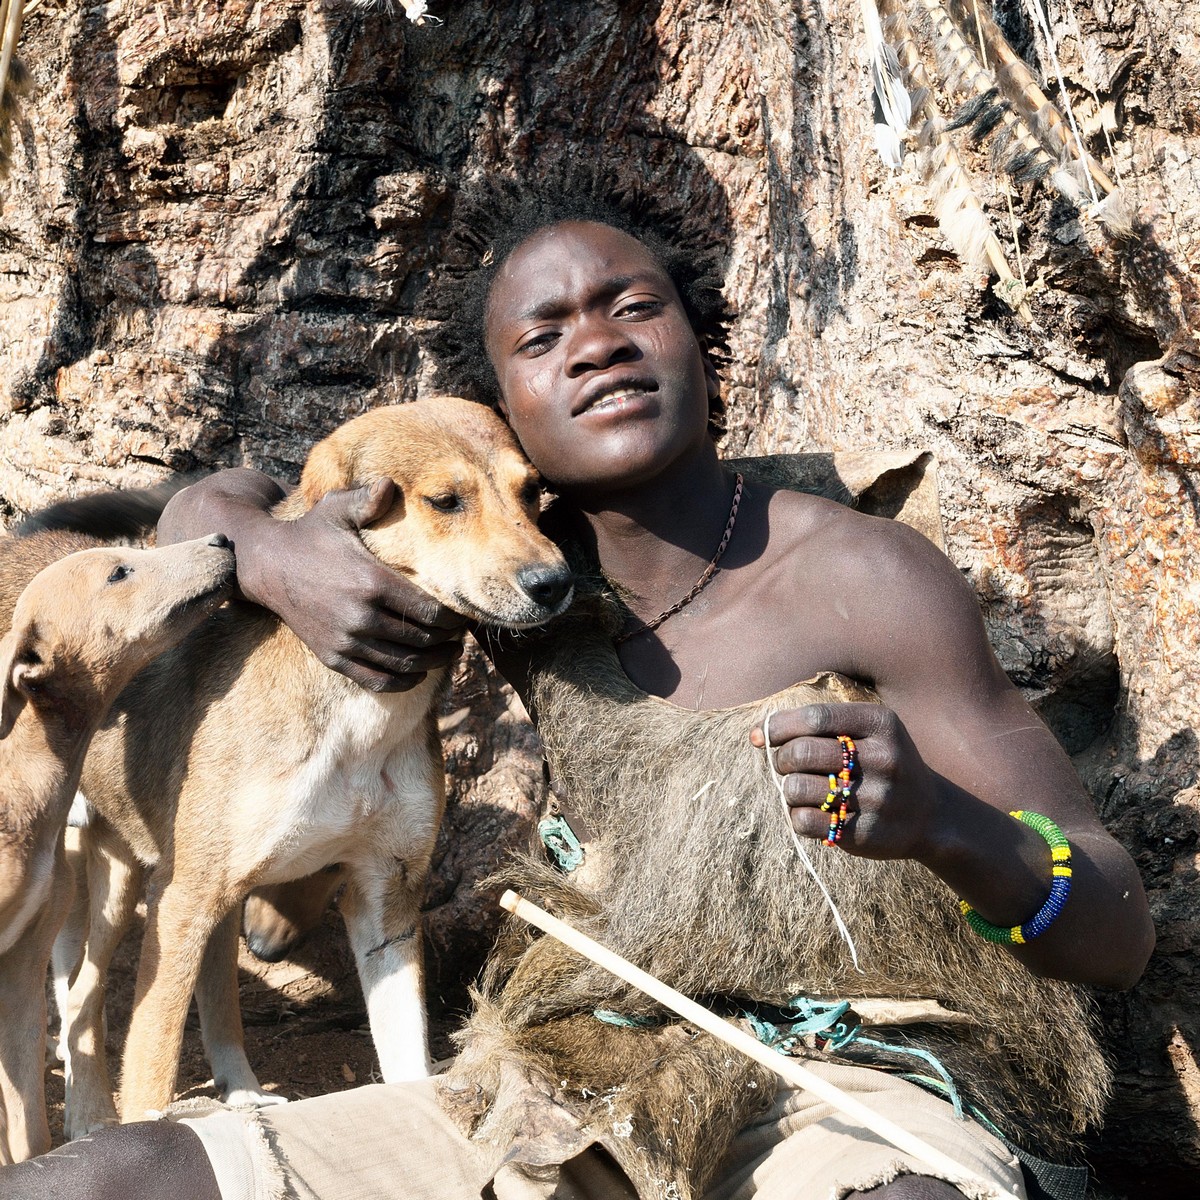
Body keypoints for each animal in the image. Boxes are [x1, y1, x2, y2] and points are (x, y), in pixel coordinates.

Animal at [58, 396, 573, 1132]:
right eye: (445, 501)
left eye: (532, 493)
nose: (555, 583)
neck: (361, 717)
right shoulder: (181, 899)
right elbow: (152, 1071)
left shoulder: (386, 895)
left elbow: (407, 1061)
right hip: (114, 884)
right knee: (81, 1000)